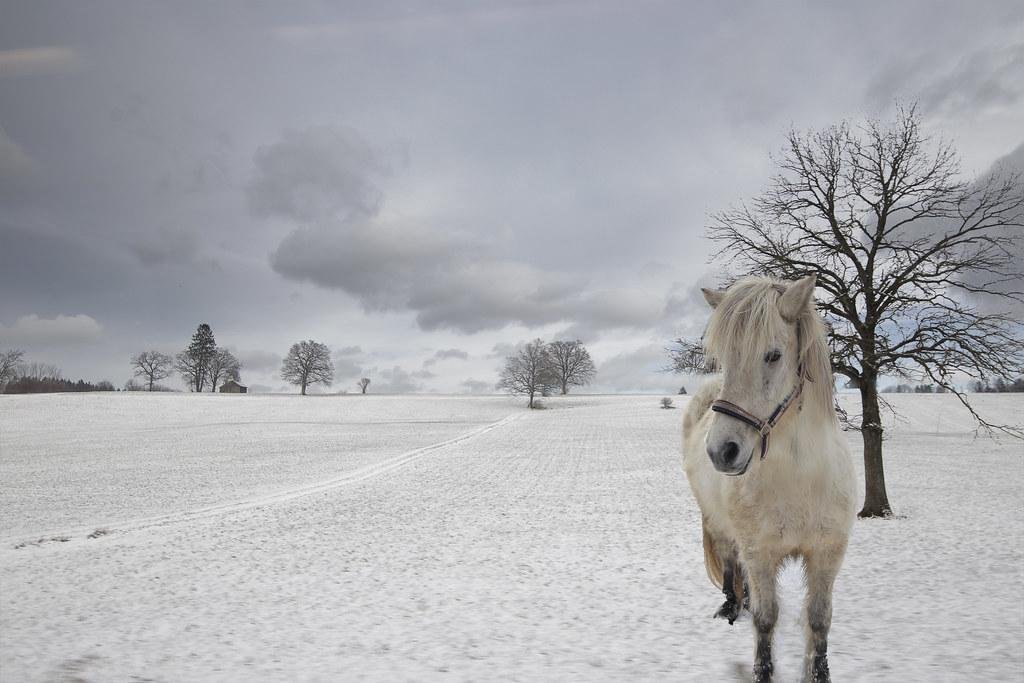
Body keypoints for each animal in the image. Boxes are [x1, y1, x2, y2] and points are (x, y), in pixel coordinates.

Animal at [684, 276, 860, 683]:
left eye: (773, 355)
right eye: (725, 358)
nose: (721, 451)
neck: (798, 477)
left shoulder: (827, 553)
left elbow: (819, 619)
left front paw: (819, 674)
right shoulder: (760, 552)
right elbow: (766, 620)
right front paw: (762, 672)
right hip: (719, 525)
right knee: (731, 562)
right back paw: (731, 608)